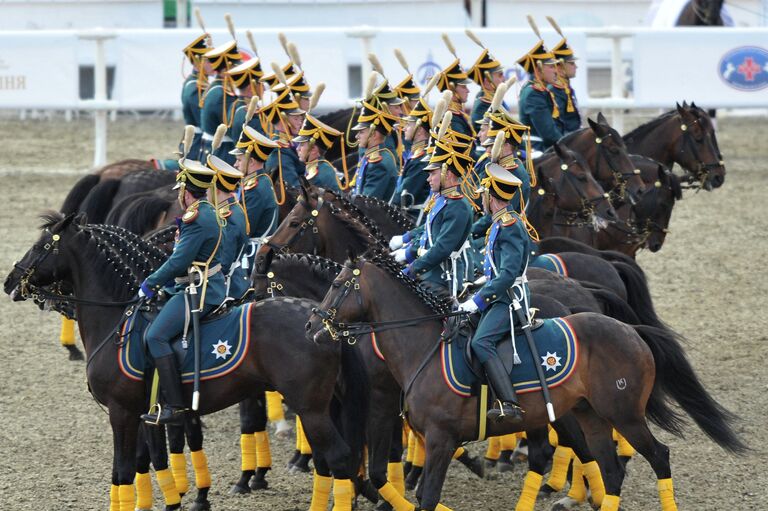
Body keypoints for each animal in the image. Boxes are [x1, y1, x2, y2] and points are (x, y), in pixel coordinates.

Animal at [3, 214, 368, 511]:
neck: (116, 323)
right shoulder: (143, 413)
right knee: (330, 460)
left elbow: (123, 471)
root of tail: (321, 321)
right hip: (321, 406)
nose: (10, 281)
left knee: (338, 457)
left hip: (311, 408)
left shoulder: (122, 412)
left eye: (40, 246)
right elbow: (144, 461)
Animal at [304, 254, 744, 510]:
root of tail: (630, 330)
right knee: (609, 468)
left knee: (658, 457)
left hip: (624, 415)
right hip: (589, 416)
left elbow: (426, 496)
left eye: (337, 284)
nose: (311, 324)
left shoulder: (440, 438)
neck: (424, 346)